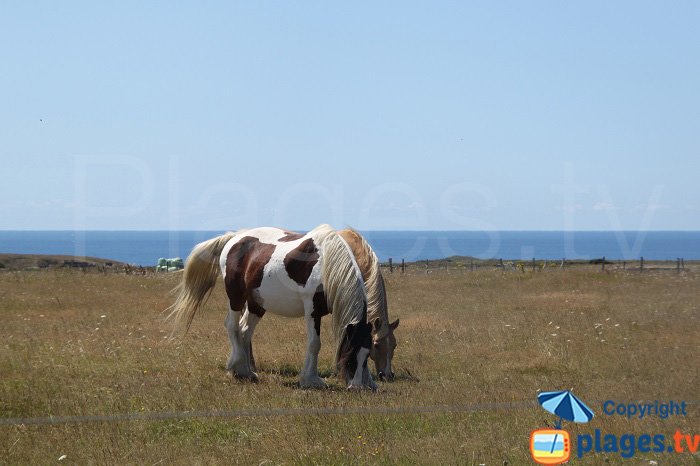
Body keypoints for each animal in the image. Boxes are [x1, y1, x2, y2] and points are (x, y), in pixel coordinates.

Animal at [168, 224, 378, 392]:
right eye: (349, 356)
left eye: (367, 355)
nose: (357, 388)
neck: (326, 264)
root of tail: (235, 237)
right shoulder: (311, 309)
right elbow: (314, 344)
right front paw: (310, 380)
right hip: (236, 296)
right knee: (232, 326)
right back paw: (237, 366)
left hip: (256, 303)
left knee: (245, 330)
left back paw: (247, 372)